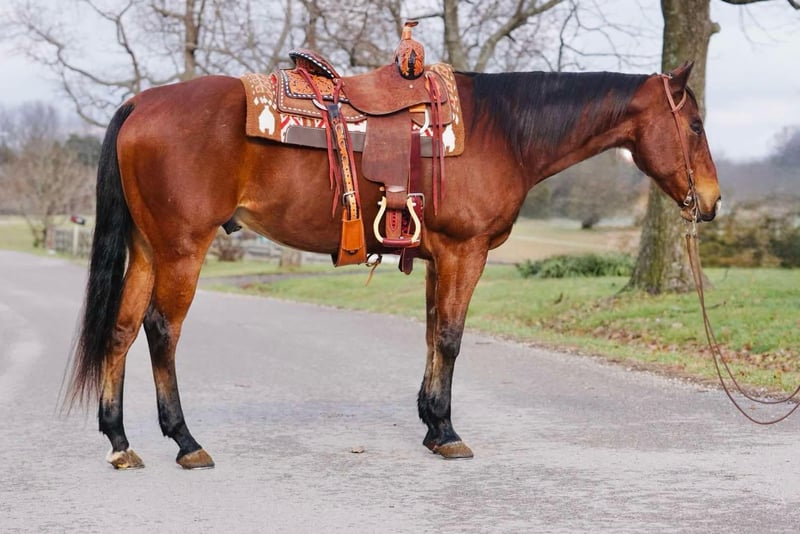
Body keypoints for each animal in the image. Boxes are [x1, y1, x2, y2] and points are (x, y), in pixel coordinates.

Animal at [68, 61, 720, 469]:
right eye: (694, 125)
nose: (711, 202)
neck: (503, 131)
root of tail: (140, 102)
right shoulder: (464, 252)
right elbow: (452, 337)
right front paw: (449, 433)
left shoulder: (438, 259)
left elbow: (433, 334)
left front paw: (431, 425)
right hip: (182, 248)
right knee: (161, 331)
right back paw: (185, 441)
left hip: (148, 249)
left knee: (121, 331)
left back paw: (120, 442)